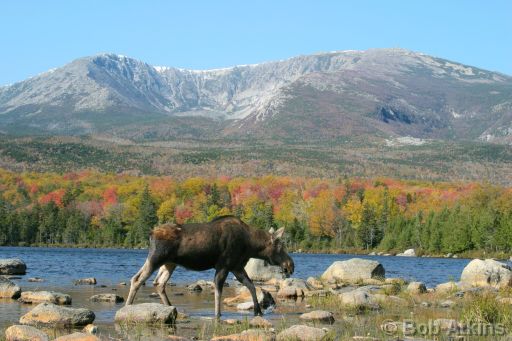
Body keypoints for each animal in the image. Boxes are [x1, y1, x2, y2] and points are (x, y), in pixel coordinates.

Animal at [125, 215, 294, 316]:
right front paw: (217, 314)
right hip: (156, 258)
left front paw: (258, 311)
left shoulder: (236, 267)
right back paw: (127, 307)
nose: (290, 265)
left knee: (158, 283)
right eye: (280, 247)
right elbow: (218, 291)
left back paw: (171, 308)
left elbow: (251, 286)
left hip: (169, 263)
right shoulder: (224, 266)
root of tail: (151, 233)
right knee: (137, 279)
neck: (250, 246)